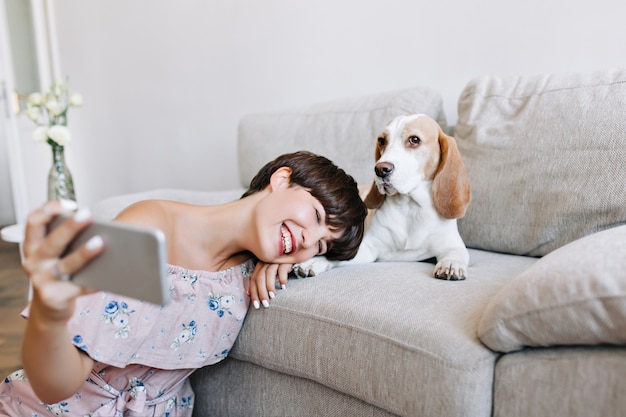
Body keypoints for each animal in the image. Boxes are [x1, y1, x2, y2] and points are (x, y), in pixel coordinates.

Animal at [296, 113, 468, 280]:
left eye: (414, 140)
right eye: (382, 141)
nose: (380, 169)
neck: (410, 207)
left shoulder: (453, 245)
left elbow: (456, 253)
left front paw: (451, 264)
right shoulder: (367, 248)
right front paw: (315, 261)